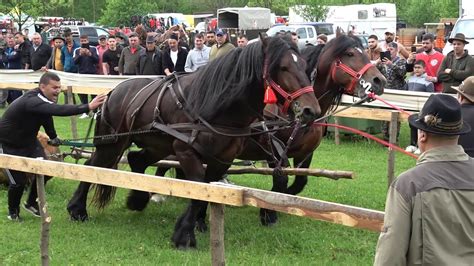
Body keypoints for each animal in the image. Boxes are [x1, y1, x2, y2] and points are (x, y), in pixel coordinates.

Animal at [65, 35, 322, 249]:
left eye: (305, 66)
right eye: (283, 67)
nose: (311, 110)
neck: (215, 106)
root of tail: (113, 91)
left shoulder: (222, 159)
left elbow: (205, 191)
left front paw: (191, 228)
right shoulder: (186, 151)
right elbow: (197, 185)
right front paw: (184, 235)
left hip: (157, 145)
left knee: (136, 160)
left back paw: (137, 199)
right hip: (113, 142)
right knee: (93, 167)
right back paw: (77, 209)